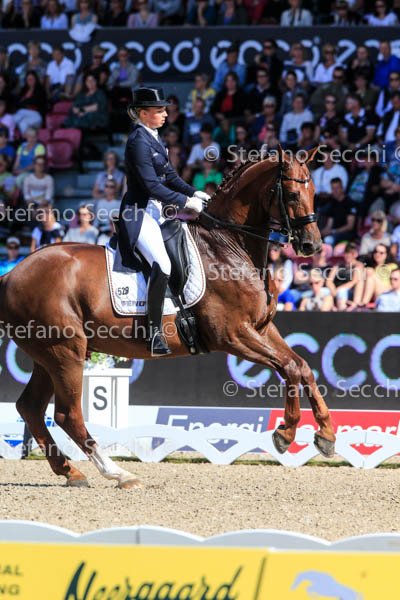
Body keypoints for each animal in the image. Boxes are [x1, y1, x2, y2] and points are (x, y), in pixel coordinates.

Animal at [0, 146, 335, 488]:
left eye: (313, 192)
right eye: (292, 194)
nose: (312, 245)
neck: (228, 246)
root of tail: (11, 273)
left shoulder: (262, 329)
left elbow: (301, 367)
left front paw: (326, 434)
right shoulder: (234, 335)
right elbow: (290, 368)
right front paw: (286, 432)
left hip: (47, 355)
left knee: (31, 407)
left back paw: (71, 471)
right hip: (65, 352)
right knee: (68, 414)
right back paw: (118, 473)